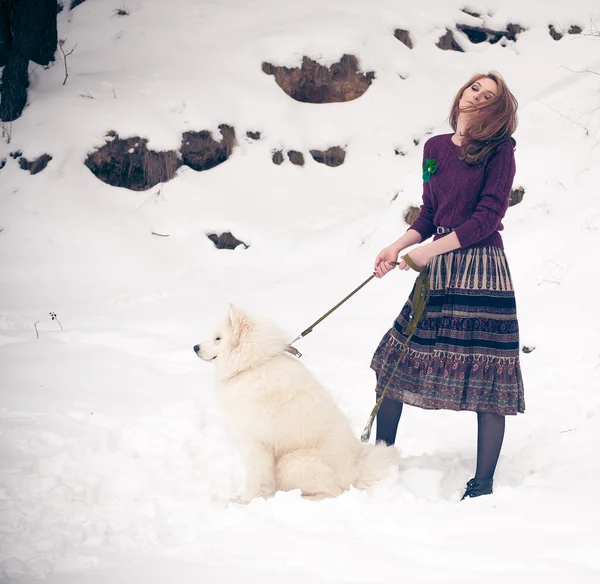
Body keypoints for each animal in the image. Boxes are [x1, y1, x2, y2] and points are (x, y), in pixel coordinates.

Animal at [193, 306, 398, 502]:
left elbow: (254, 478)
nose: (195, 347)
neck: (253, 365)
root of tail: (355, 469)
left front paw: (244, 502)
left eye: (218, 338)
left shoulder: (255, 444)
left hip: (291, 463)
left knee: (334, 492)